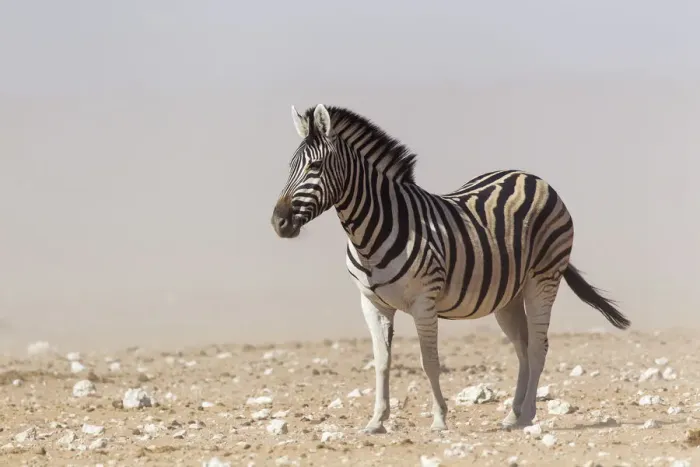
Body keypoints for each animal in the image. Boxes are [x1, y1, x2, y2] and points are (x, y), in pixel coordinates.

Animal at [271, 104, 630, 433]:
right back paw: (513, 415)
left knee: (537, 347)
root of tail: (532, 177)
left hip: (543, 280)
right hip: (507, 296)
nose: (278, 222)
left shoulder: (424, 301)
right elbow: (382, 362)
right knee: (522, 349)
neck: (369, 234)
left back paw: (528, 414)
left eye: (316, 166)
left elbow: (429, 361)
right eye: (290, 167)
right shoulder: (372, 303)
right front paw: (376, 421)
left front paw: (439, 419)